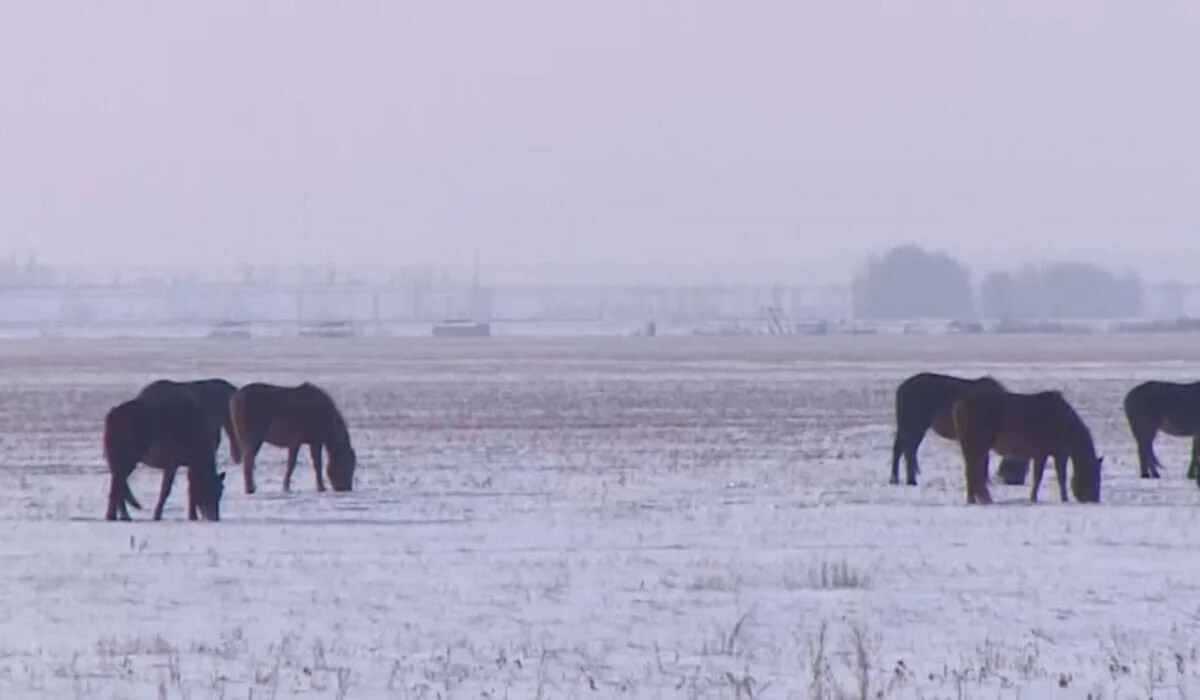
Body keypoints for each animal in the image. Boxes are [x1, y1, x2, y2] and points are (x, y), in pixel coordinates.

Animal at [103, 393, 226, 521]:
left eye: (220, 491)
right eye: (208, 489)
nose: (214, 517)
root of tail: (112, 414)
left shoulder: (190, 464)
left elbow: (191, 489)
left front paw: (192, 516)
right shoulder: (172, 463)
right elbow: (166, 490)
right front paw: (157, 515)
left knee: (118, 485)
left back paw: (121, 516)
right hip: (126, 459)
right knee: (118, 484)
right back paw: (115, 516)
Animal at [892, 372, 1032, 487]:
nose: (1015, 482)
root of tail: (901, 389)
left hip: (907, 426)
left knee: (900, 449)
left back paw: (895, 479)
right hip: (914, 426)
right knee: (908, 450)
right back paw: (911, 480)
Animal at [950, 389, 1099, 509]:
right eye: (1094, 476)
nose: (1095, 499)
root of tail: (961, 404)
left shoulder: (1042, 454)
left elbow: (1038, 477)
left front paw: (1034, 498)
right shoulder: (1058, 453)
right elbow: (1058, 477)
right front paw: (1064, 499)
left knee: (972, 472)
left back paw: (973, 500)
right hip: (978, 446)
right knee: (973, 472)